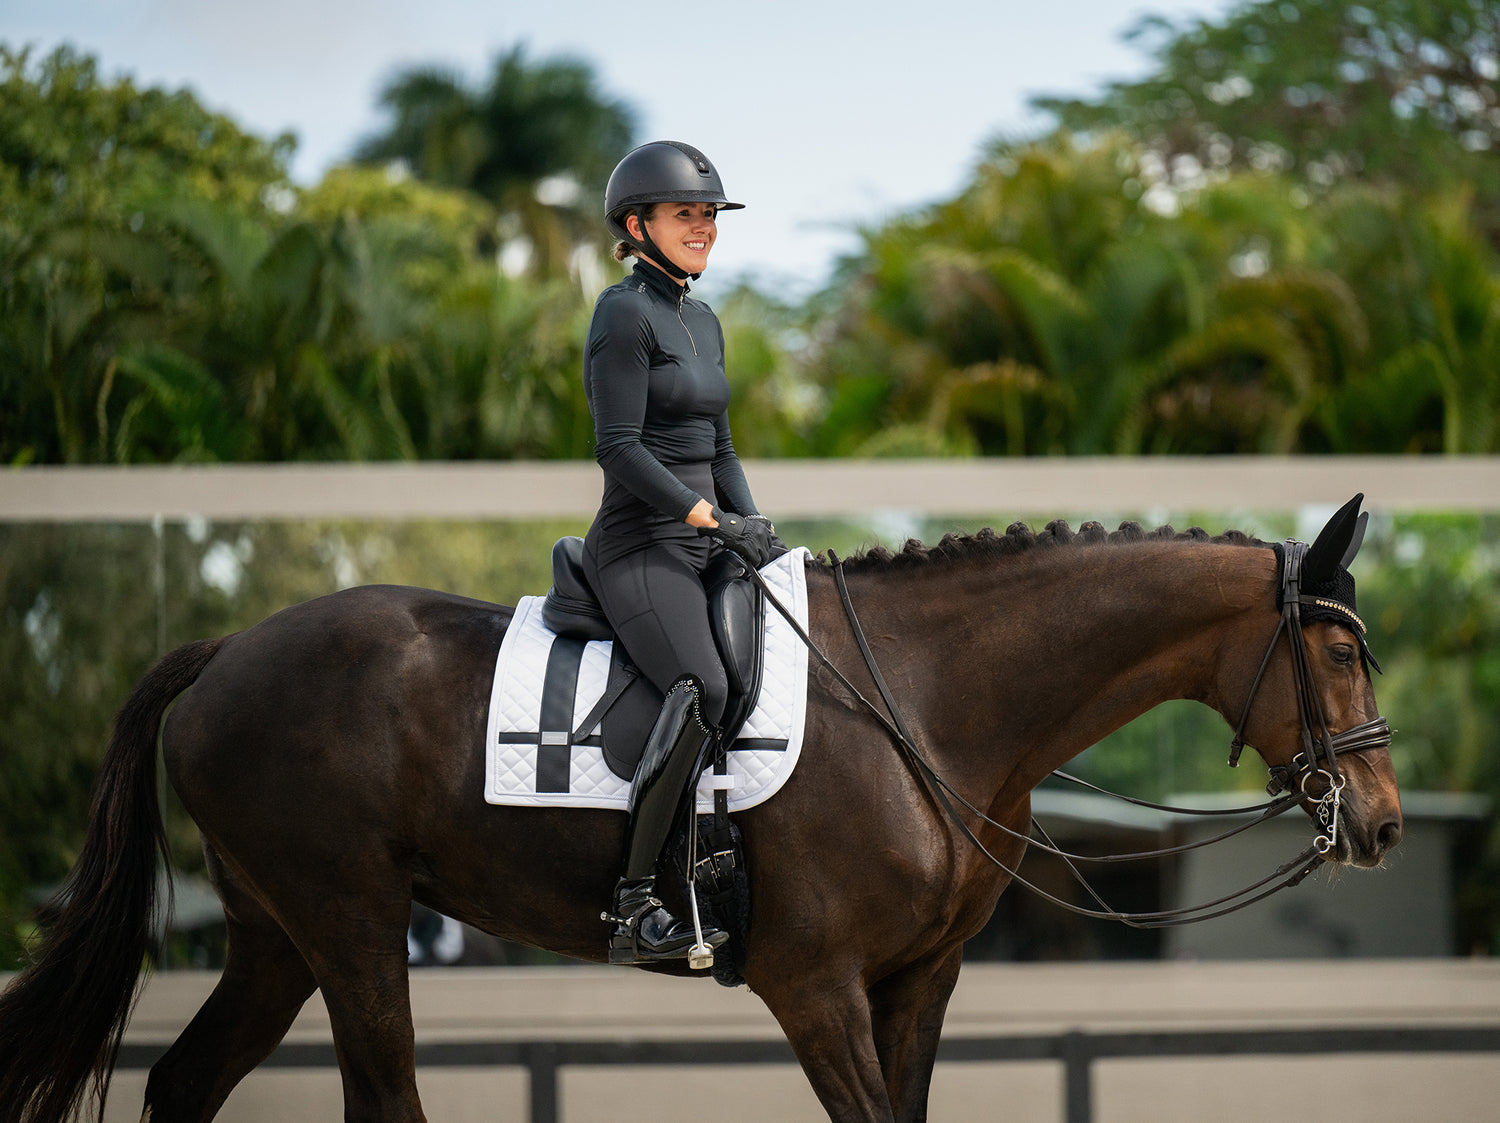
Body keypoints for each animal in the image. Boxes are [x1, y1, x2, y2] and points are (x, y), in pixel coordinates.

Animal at [0, 494, 1404, 1115]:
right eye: (1341, 651)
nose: (1384, 820)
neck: (929, 699)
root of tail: (224, 653)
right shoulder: (814, 982)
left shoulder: (918, 984)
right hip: (349, 927)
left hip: (276, 937)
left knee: (183, 1088)